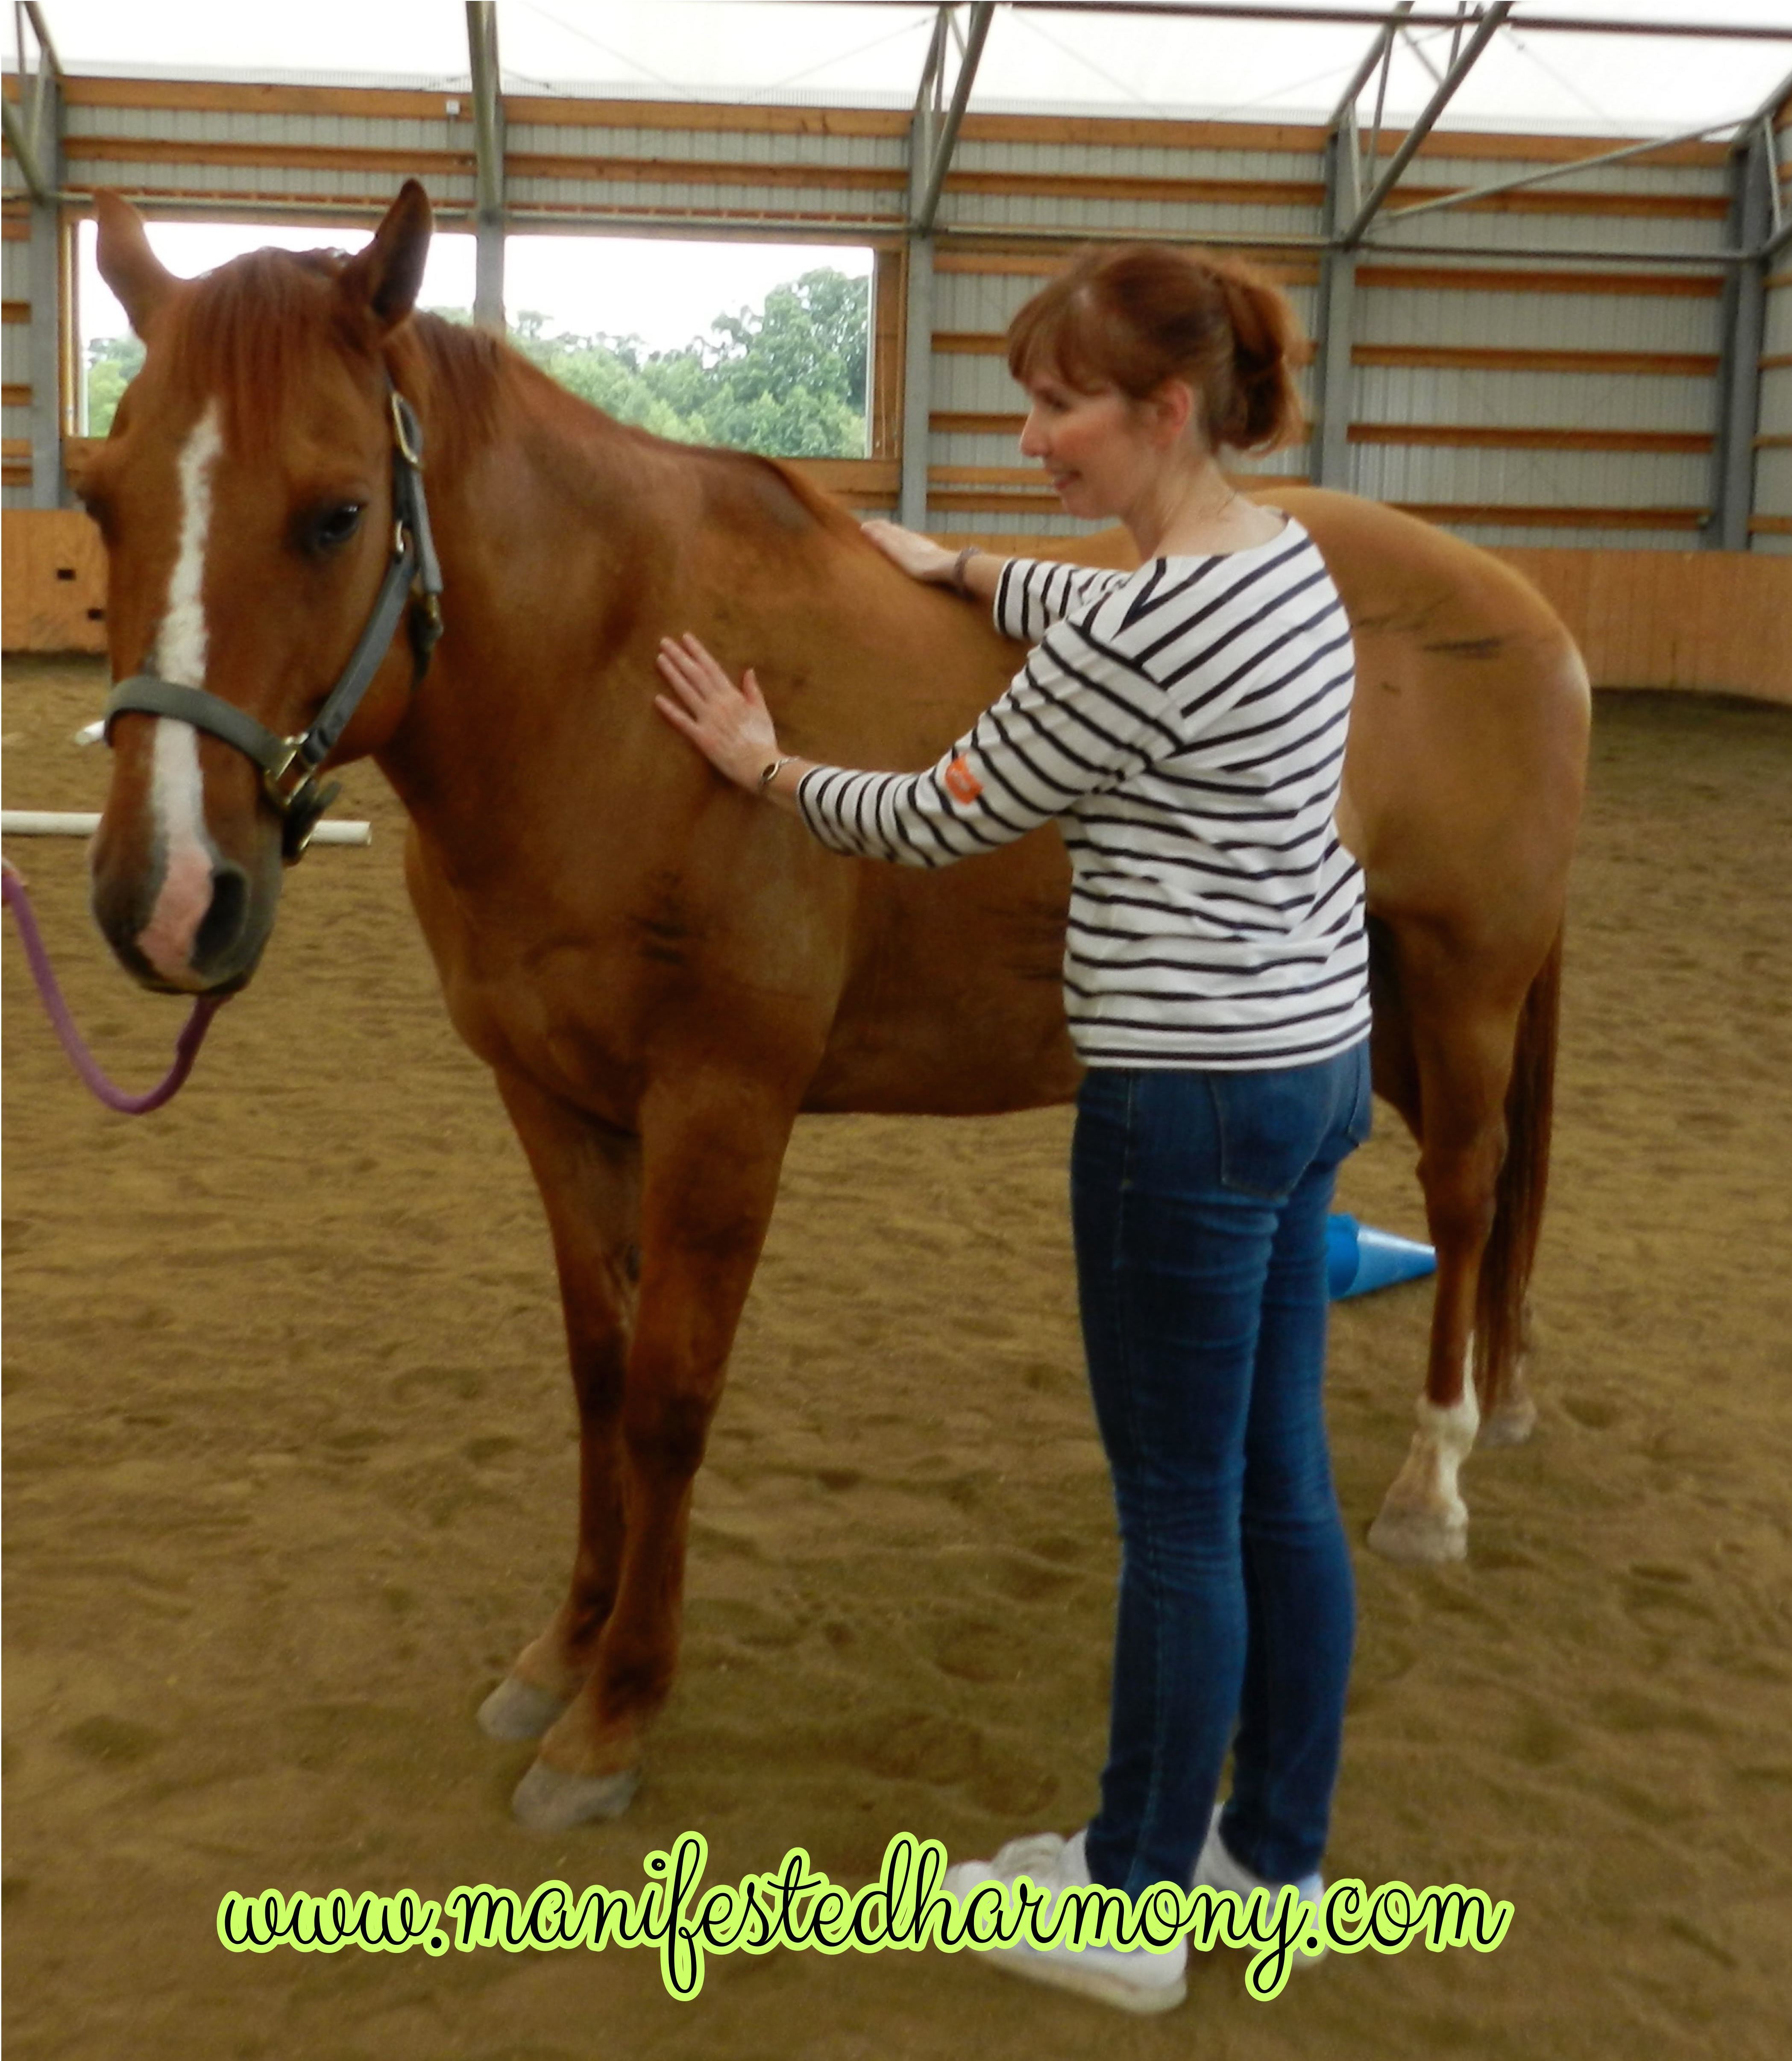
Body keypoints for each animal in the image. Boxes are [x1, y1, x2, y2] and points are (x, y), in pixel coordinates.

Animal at [81, 182, 1587, 1833]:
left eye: (339, 512)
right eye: (100, 503)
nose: (167, 897)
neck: (608, 685)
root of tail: (1524, 608)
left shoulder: (722, 1109)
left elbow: (669, 1398)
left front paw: (614, 1716)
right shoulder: (554, 1102)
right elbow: (598, 1380)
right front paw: (560, 1653)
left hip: (1459, 991)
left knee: (1467, 1191)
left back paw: (1434, 1480)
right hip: (1367, 1013)